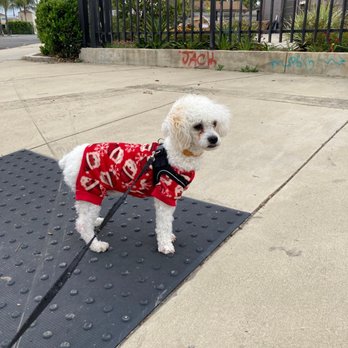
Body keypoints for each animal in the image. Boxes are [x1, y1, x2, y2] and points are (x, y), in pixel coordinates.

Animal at [58, 94, 230, 254]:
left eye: (214, 123)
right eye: (197, 126)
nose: (214, 139)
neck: (177, 152)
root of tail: (70, 157)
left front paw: (167, 239)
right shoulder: (165, 193)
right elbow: (164, 224)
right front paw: (165, 244)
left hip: (89, 194)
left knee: (83, 217)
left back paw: (97, 221)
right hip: (90, 188)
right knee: (82, 224)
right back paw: (95, 245)